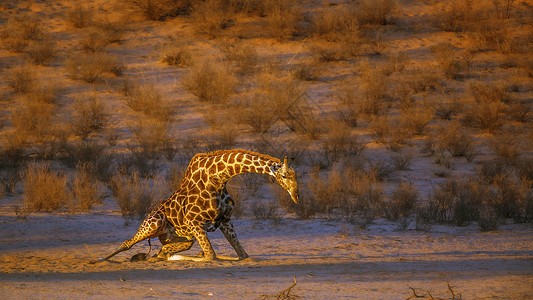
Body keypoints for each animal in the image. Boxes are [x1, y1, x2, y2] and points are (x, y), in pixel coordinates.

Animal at [90, 149, 298, 262]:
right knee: (127, 243)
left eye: (296, 176)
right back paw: (98, 260)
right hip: (154, 223)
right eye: (284, 175)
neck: (218, 179)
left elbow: (242, 254)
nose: (296, 196)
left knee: (170, 248)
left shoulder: (225, 219)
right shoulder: (194, 223)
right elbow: (210, 255)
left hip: (179, 237)